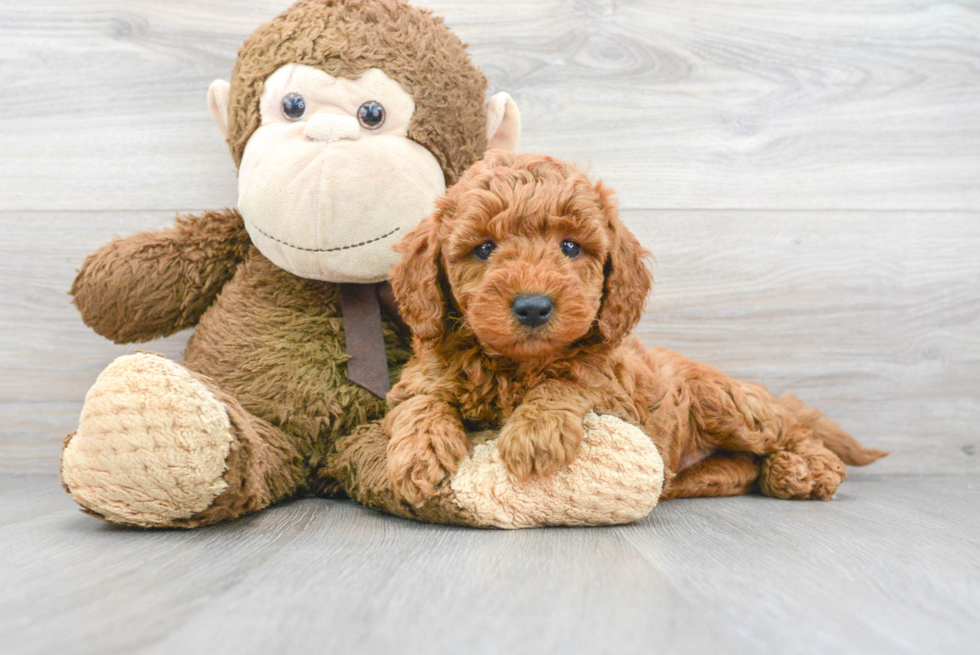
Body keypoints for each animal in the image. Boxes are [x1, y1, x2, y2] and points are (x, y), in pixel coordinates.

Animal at [384, 151, 888, 504]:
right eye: (485, 248)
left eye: (570, 246)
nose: (533, 307)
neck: (515, 365)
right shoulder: (423, 373)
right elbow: (420, 402)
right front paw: (416, 455)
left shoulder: (616, 393)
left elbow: (570, 379)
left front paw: (536, 432)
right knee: (741, 463)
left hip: (723, 403)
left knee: (787, 428)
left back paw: (807, 468)